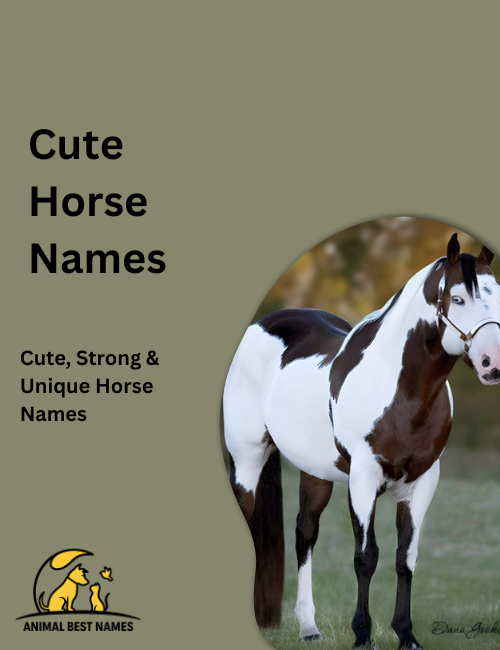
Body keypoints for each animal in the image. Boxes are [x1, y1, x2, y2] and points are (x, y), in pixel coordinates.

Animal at [223, 234, 500, 650]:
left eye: (497, 295)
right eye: (458, 298)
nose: (492, 363)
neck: (402, 392)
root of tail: (261, 324)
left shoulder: (422, 483)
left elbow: (406, 557)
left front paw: (406, 635)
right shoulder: (364, 479)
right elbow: (366, 556)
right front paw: (362, 636)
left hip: (315, 472)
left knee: (304, 533)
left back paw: (309, 628)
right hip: (247, 461)